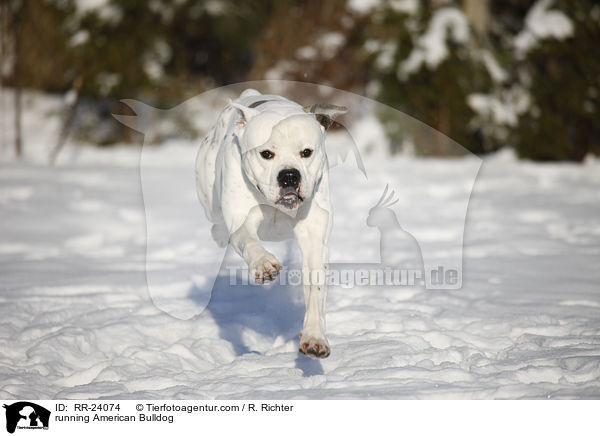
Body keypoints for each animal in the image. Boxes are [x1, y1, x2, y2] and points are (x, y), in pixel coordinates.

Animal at [197, 88, 346, 358]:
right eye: (266, 154)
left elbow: (315, 289)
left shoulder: (314, 238)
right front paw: (264, 264)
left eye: (306, 152)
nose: (289, 175)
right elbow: (248, 240)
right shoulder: (241, 219)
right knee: (218, 224)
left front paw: (315, 337)